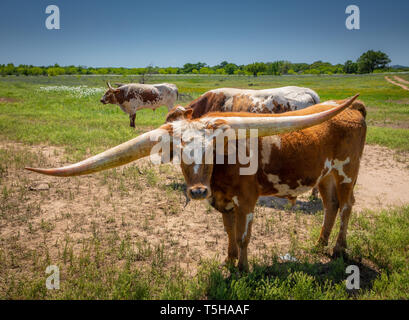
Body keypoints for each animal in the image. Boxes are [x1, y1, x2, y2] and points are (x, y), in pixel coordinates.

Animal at [25, 94, 364, 270]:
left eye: (212, 150)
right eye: (178, 153)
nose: (199, 191)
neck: (222, 171)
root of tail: (352, 107)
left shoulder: (248, 202)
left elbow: (243, 237)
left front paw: (243, 269)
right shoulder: (224, 202)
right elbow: (229, 234)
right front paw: (229, 261)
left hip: (348, 171)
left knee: (347, 206)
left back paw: (337, 249)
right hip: (326, 175)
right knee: (331, 205)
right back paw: (319, 244)